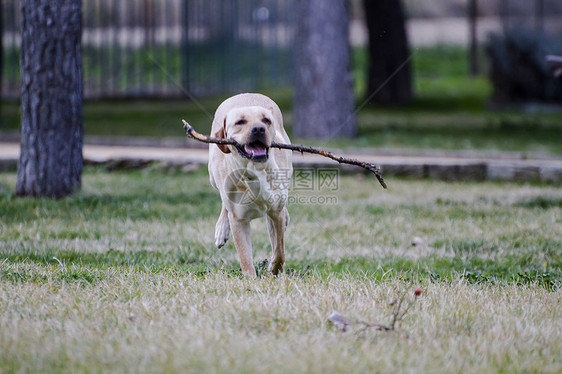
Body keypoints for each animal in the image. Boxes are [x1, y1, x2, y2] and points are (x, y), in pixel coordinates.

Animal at [208, 93, 290, 274]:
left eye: (266, 120)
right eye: (240, 122)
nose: (259, 129)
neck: (255, 171)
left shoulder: (276, 212)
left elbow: (279, 249)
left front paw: (274, 268)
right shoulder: (238, 220)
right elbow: (245, 258)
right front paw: (251, 278)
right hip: (213, 176)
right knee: (224, 201)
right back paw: (221, 229)